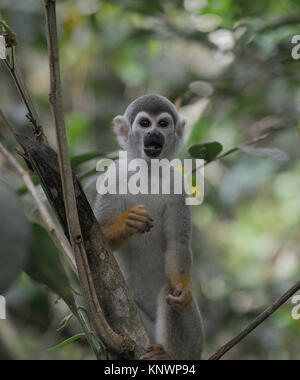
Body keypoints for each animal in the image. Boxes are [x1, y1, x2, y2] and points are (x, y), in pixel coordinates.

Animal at [94, 94, 204, 360]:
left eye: (163, 124)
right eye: (144, 123)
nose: (154, 133)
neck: (148, 171)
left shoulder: (178, 187)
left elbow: (177, 242)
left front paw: (184, 289)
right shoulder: (113, 177)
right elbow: (93, 236)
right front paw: (128, 222)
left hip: (194, 345)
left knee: (169, 292)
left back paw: (170, 355)